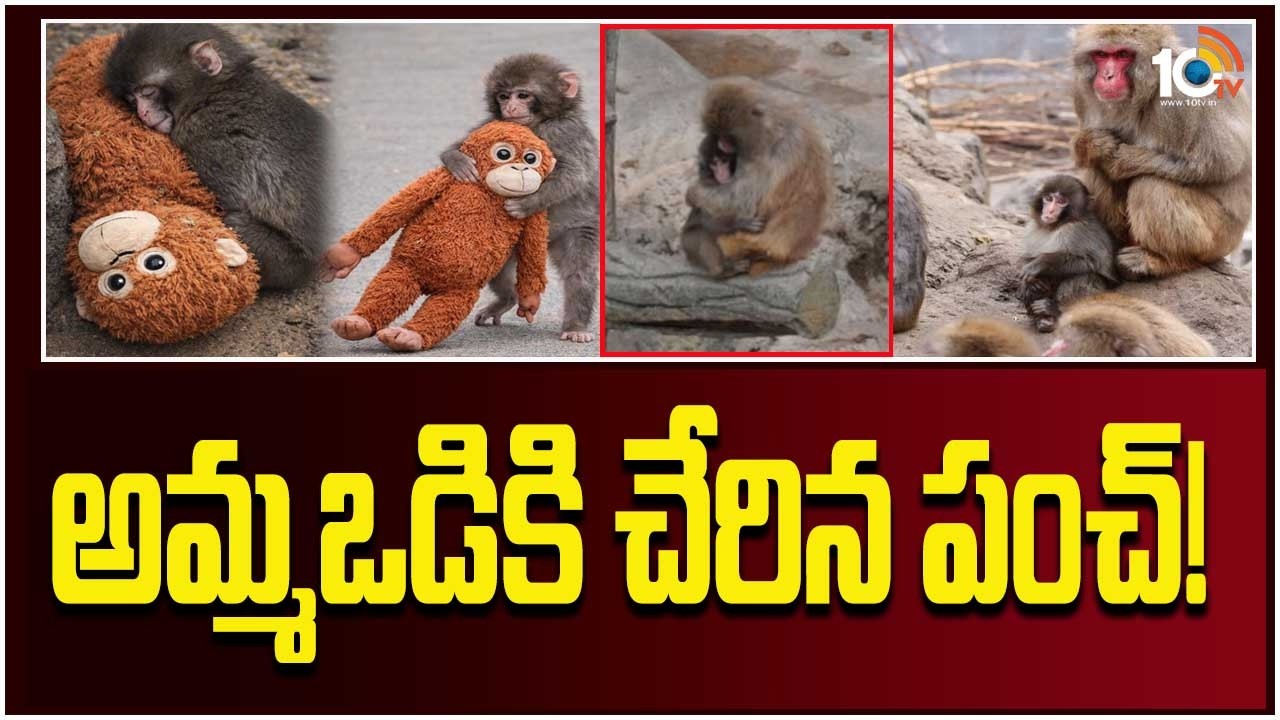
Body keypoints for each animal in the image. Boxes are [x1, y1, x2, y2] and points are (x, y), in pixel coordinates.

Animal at [105, 23, 329, 291]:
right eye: (131, 99)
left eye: (147, 92)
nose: (143, 113)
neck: (213, 91)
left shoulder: (211, 139)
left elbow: (223, 202)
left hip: (284, 262)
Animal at [439, 54, 599, 343]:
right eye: (503, 96)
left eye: (523, 95)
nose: (510, 107)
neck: (537, 124)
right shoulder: (494, 126)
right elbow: (461, 146)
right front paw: (458, 161)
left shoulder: (564, 132)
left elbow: (573, 174)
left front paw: (525, 204)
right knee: (498, 268)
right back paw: (509, 298)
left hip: (576, 229)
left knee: (579, 272)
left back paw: (575, 326)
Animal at [680, 132, 767, 275]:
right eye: (714, 164)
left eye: (723, 161)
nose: (720, 173)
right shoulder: (707, 186)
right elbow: (710, 222)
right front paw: (741, 223)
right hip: (687, 243)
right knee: (702, 233)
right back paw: (723, 269)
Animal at [1018, 174, 1118, 333]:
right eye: (1049, 198)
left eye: (1061, 202)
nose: (1049, 211)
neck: (1055, 226)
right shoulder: (1032, 228)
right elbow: (1026, 258)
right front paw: (1031, 282)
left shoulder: (1076, 230)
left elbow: (1091, 261)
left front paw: (1039, 265)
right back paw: (1042, 319)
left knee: (1084, 276)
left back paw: (1055, 312)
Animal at [1071, 24, 1251, 280]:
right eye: (1102, 55)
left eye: (1123, 54)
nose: (1107, 76)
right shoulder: (1081, 93)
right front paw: (1094, 145)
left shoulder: (1182, 92)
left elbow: (1220, 163)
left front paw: (1123, 161)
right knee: (1097, 170)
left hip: (1219, 238)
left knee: (1151, 185)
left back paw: (1165, 261)